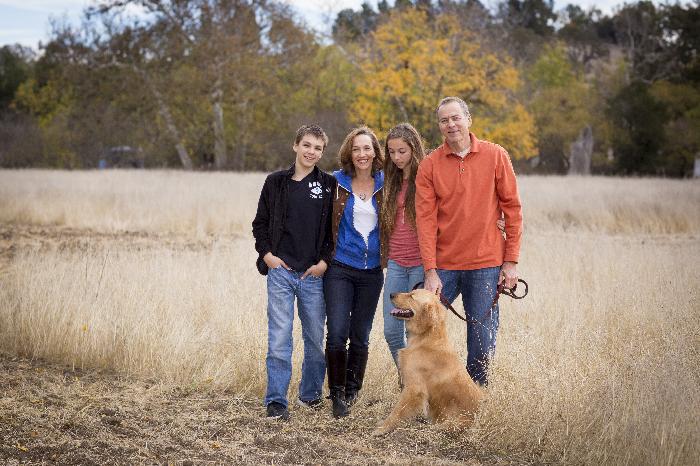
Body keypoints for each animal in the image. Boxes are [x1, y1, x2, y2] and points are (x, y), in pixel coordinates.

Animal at [374, 289, 483, 435]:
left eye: (412, 296)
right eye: (410, 291)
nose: (391, 294)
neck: (426, 338)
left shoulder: (414, 387)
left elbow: (396, 412)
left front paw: (382, 428)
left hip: (455, 423)